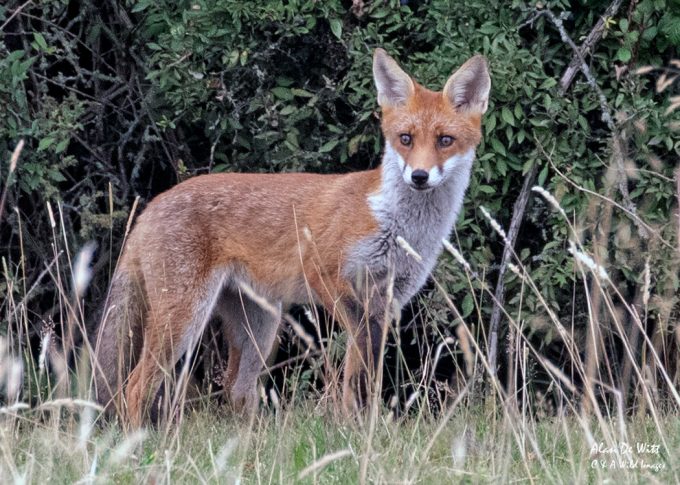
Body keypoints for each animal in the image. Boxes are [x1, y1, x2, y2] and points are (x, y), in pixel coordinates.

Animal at [92, 48, 490, 427]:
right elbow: (356, 373)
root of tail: (150, 206)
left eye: (445, 140)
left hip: (259, 328)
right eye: (405, 139)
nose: (419, 176)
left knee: (236, 390)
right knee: (135, 386)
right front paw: (354, 428)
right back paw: (141, 441)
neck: (392, 223)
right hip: (186, 317)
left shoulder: (387, 303)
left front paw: (367, 427)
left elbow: (366, 377)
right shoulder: (331, 280)